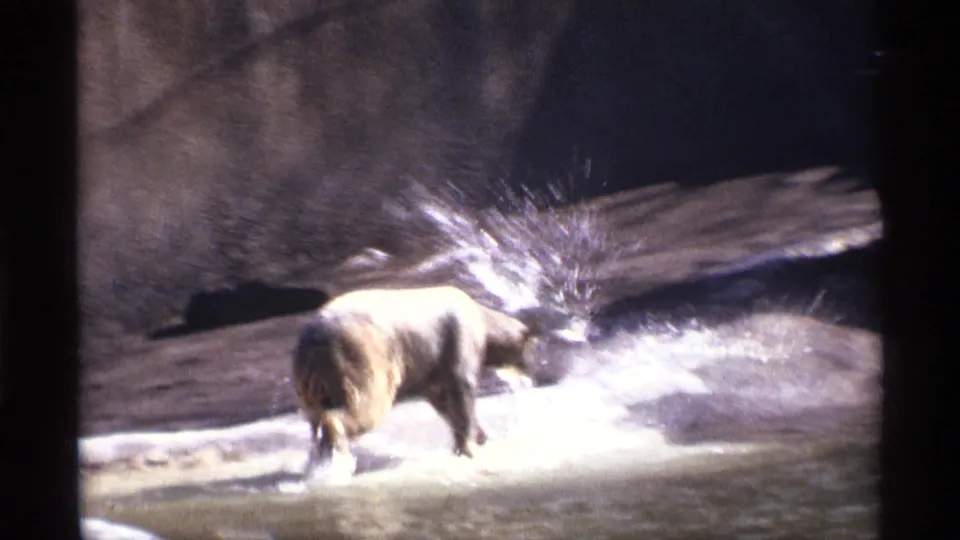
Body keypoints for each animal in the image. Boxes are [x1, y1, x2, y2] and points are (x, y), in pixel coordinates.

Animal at [292, 285, 585, 477]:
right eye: (532, 350)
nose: (530, 373)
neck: (482, 319)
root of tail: (315, 337)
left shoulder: (431, 368)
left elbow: (444, 402)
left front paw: (480, 437)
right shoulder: (457, 340)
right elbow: (462, 390)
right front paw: (469, 448)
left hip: (309, 377)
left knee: (315, 414)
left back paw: (317, 460)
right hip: (362, 355)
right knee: (363, 405)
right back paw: (337, 452)